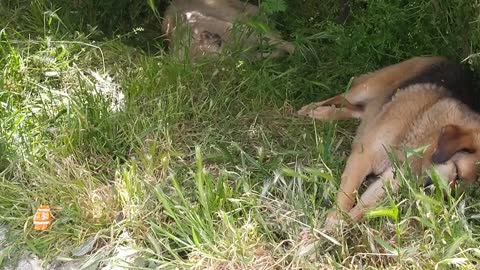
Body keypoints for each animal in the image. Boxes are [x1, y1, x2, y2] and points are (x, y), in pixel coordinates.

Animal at [298, 56, 478, 230]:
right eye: (458, 173)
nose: (432, 203)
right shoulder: (363, 157)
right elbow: (347, 196)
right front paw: (334, 220)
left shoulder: (391, 179)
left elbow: (362, 210)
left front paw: (338, 228)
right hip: (365, 88)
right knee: (341, 97)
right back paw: (312, 109)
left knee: (358, 111)